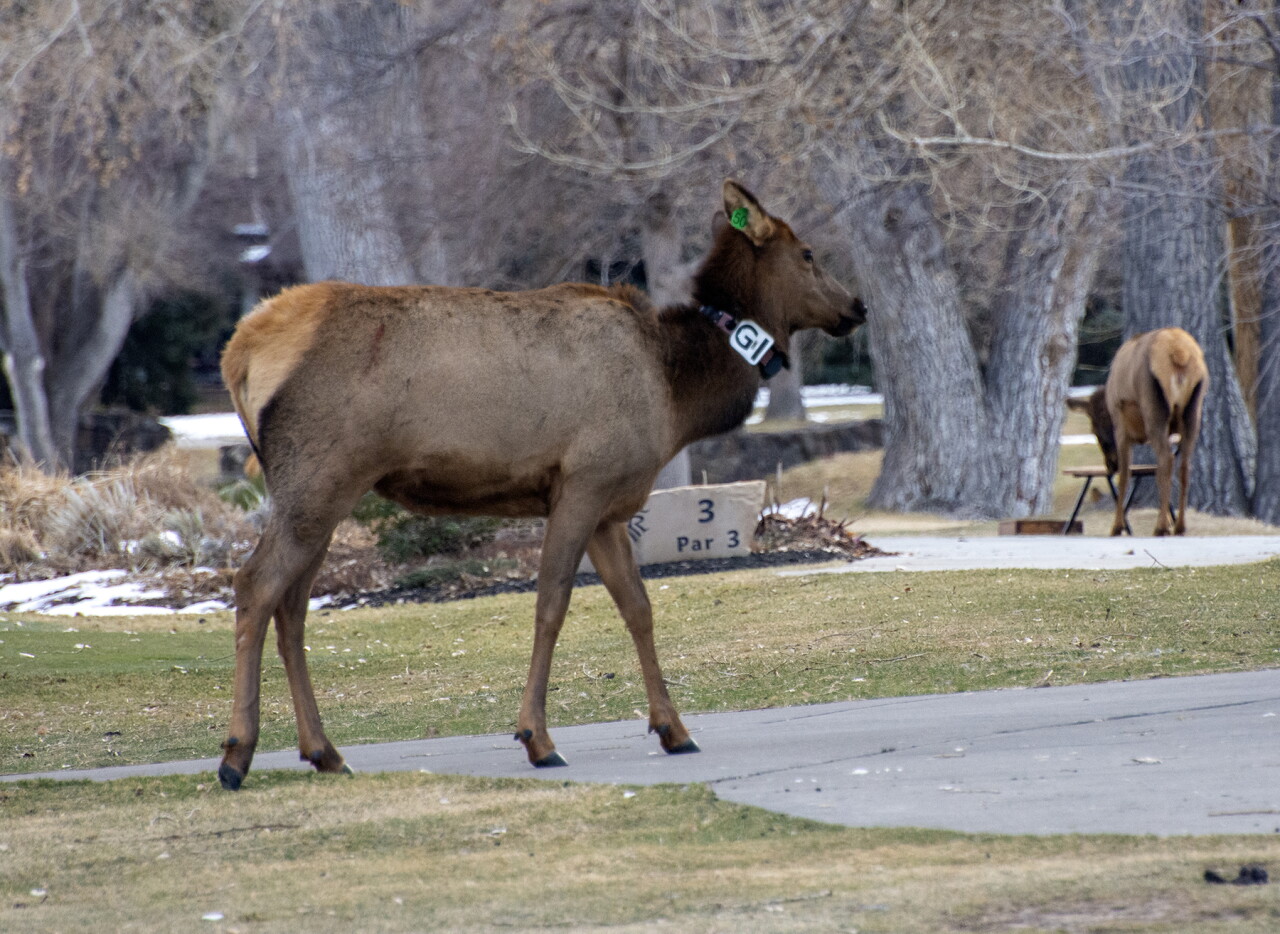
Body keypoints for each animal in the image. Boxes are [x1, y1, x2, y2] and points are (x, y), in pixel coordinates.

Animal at [215, 181, 865, 790]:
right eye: (808, 253)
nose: (857, 305)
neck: (675, 392)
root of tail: (237, 352)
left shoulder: (611, 508)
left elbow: (639, 607)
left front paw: (673, 728)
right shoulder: (583, 482)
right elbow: (551, 603)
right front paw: (538, 738)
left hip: (321, 493)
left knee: (292, 606)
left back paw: (324, 751)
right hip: (319, 477)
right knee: (255, 585)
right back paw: (237, 755)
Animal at [1067, 327, 1207, 537]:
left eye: (1095, 429)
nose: (1110, 465)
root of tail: (1179, 352)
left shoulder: (1121, 428)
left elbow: (1125, 476)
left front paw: (1117, 527)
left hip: (1153, 409)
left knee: (1166, 460)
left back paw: (1161, 527)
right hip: (1192, 412)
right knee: (1184, 466)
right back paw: (1179, 526)